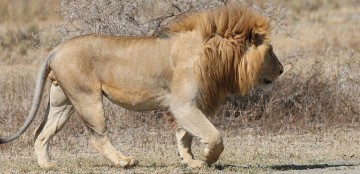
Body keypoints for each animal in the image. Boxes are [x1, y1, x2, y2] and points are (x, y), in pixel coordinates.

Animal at [0, 5, 282, 169]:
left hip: (63, 102)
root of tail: (56, 48)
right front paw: (207, 159)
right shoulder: (183, 104)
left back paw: (47, 165)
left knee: (41, 133)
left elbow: (184, 135)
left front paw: (189, 160)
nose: (281, 70)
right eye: (270, 51)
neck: (218, 57)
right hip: (87, 98)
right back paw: (125, 161)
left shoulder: (186, 105)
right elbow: (214, 135)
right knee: (96, 137)